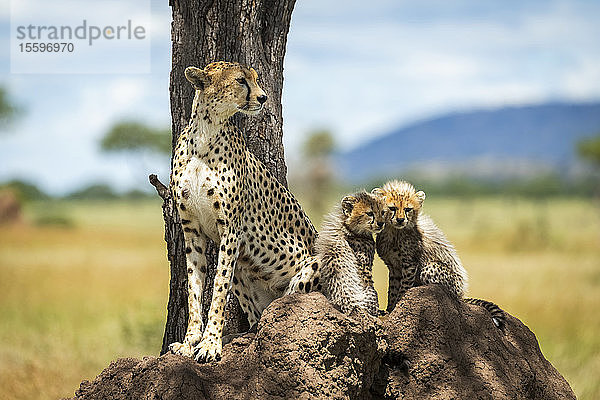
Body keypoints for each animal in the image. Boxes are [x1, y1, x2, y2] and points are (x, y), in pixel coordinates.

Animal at [169, 61, 316, 362]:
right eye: (240, 80)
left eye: (256, 78)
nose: (262, 98)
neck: (205, 134)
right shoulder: (192, 231)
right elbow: (194, 288)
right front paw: (190, 342)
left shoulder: (231, 231)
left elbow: (218, 289)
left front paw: (210, 344)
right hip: (244, 271)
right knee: (256, 315)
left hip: (315, 263)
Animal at [376, 180, 506, 326]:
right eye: (392, 208)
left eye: (407, 209)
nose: (400, 220)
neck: (393, 231)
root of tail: (461, 295)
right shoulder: (393, 267)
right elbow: (392, 289)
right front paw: (389, 309)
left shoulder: (410, 264)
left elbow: (403, 288)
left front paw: (397, 306)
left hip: (432, 270)